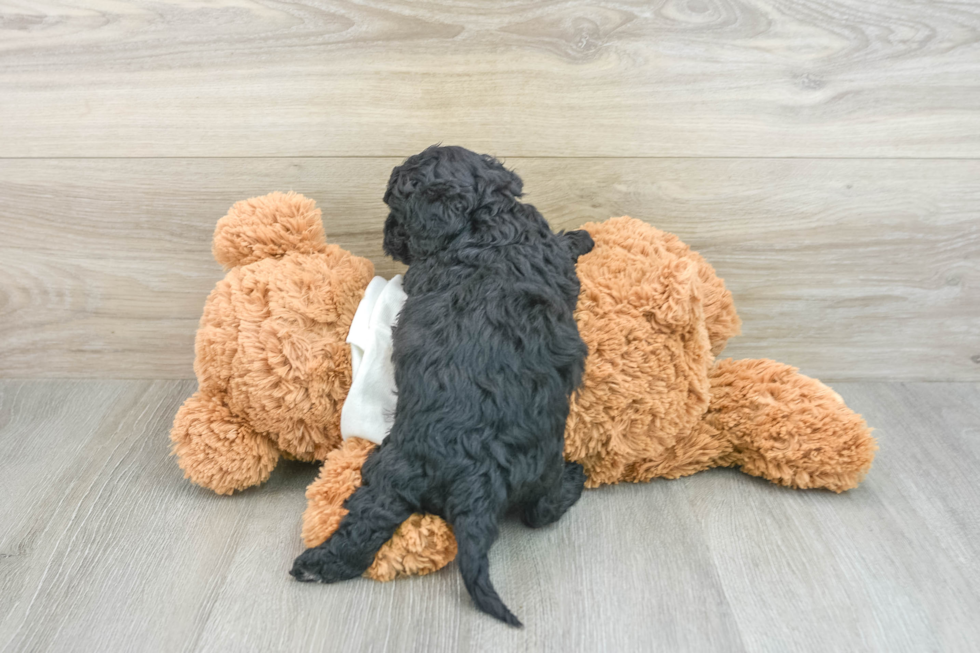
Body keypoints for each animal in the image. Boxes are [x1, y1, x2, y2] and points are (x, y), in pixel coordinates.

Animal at [290, 145, 592, 624]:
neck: (483, 223)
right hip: (537, 462)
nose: (387, 237)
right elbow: (564, 247)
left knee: (369, 519)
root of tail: (476, 479)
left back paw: (317, 566)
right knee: (540, 511)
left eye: (395, 208)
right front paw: (583, 236)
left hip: (396, 471)